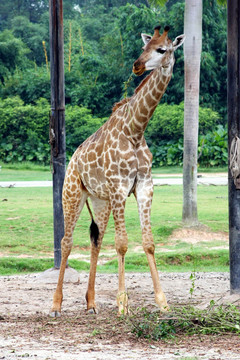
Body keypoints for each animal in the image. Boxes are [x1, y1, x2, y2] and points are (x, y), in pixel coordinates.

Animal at [50, 25, 186, 316]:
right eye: (144, 47)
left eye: (162, 49)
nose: (137, 65)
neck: (135, 130)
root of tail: (73, 159)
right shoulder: (119, 187)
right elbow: (122, 243)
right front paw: (122, 303)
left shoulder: (144, 187)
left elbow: (148, 242)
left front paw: (162, 302)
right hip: (72, 194)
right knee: (66, 242)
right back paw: (55, 305)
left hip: (100, 201)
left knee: (96, 241)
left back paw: (91, 303)